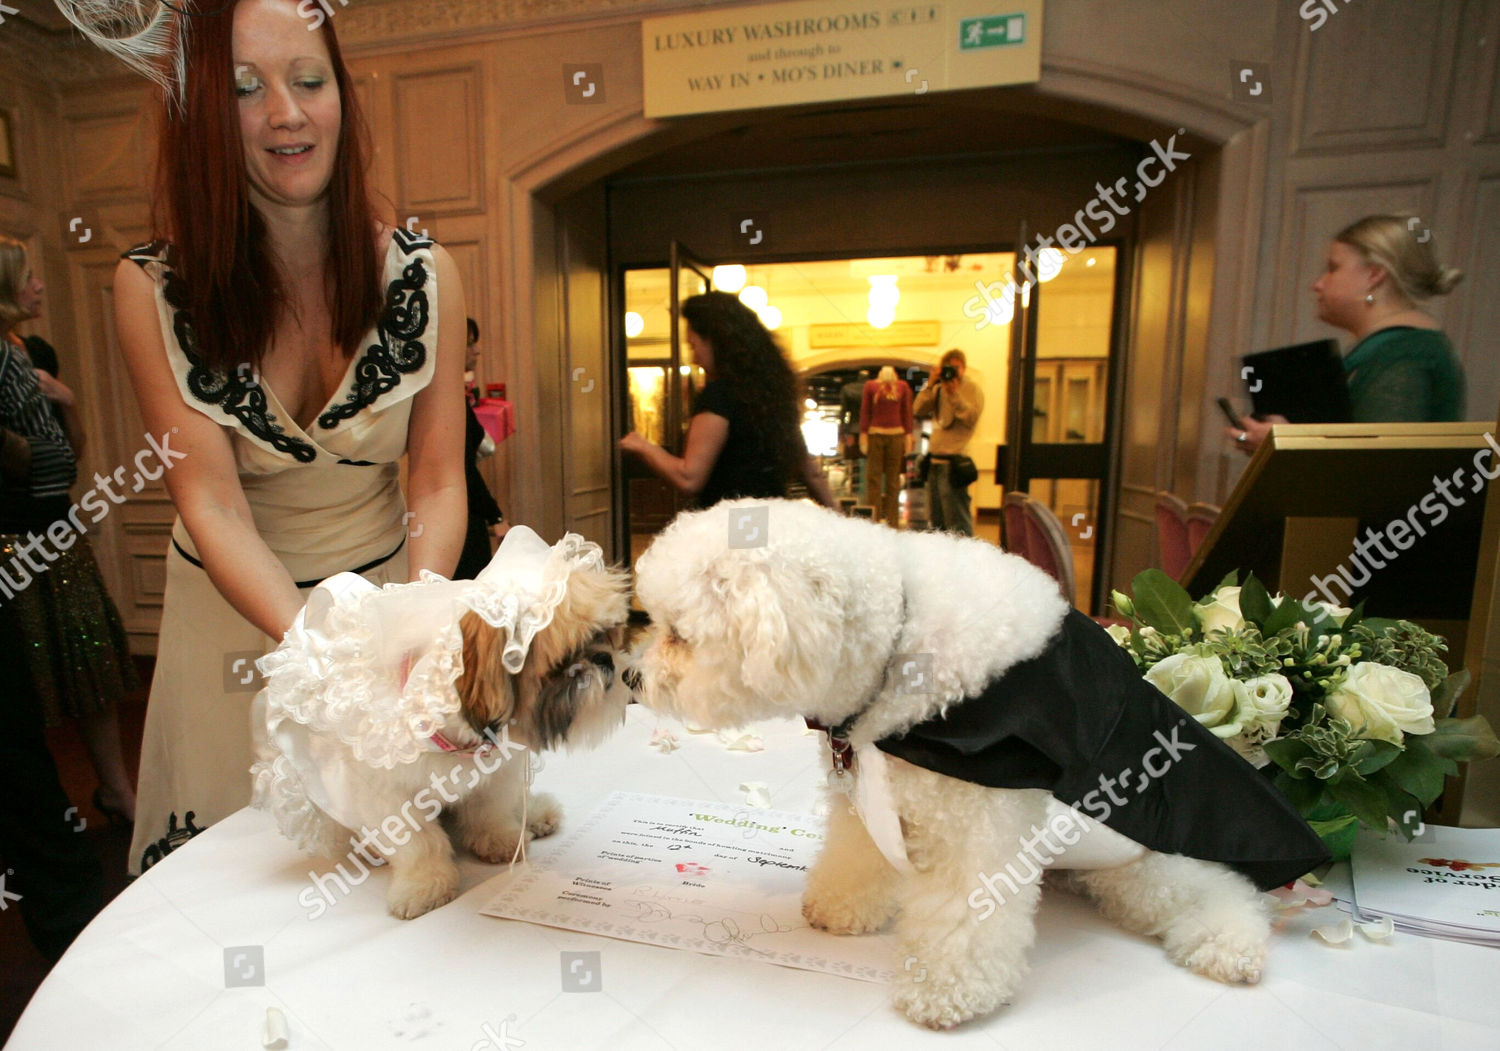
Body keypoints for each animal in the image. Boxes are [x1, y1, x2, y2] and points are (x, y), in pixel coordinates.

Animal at [252, 527, 627, 911]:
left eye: (602, 636)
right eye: (565, 661)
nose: (605, 659)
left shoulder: (497, 772)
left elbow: (490, 809)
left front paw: (500, 839)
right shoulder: (387, 795)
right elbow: (418, 842)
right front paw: (424, 884)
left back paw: (534, 814)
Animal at [627, 497, 1332, 1025]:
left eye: (679, 635)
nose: (631, 677)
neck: (896, 642)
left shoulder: (981, 824)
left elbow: (964, 919)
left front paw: (947, 995)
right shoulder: (870, 793)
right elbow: (857, 858)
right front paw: (840, 908)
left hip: (1155, 863)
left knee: (1224, 894)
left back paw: (1229, 946)